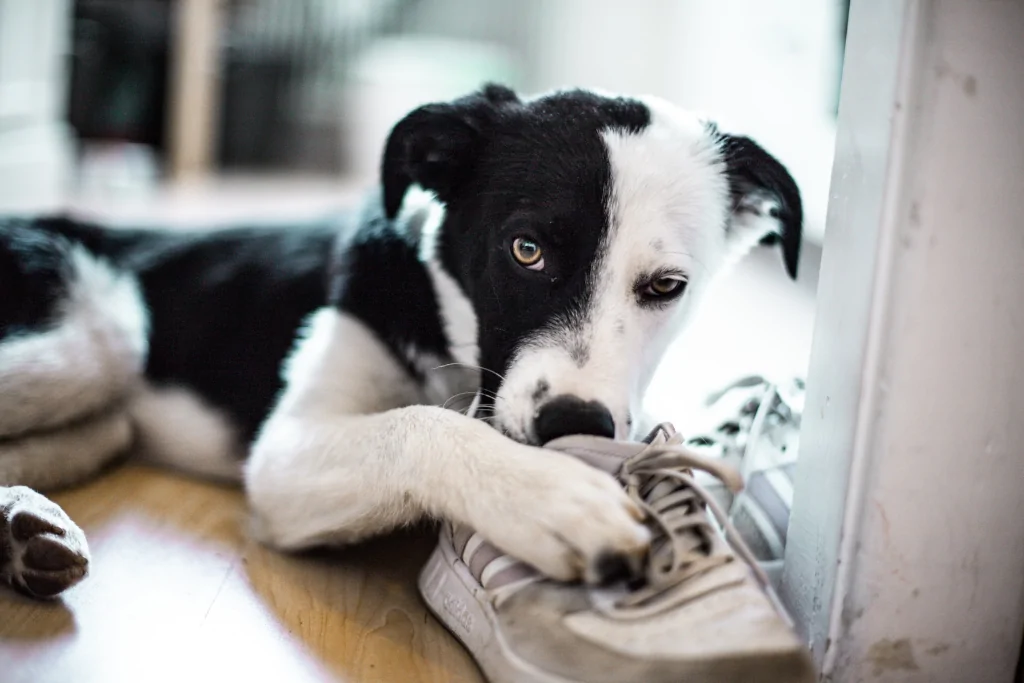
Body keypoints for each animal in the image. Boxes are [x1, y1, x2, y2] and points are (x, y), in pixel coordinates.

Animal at [0, 83, 798, 598]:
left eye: (666, 286)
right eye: (527, 250)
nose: (572, 426)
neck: (451, 343)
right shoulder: (283, 456)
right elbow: (423, 425)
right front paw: (550, 495)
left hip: (98, 414)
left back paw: (19, 530)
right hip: (97, 337)